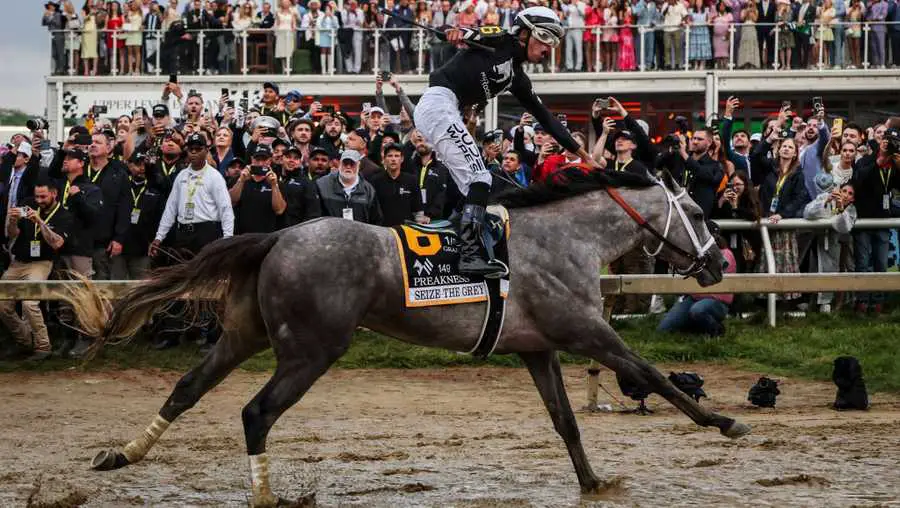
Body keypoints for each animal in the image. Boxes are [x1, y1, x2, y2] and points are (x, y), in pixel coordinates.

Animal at [67, 169, 748, 506]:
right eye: (700, 214)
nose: (718, 266)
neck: (565, 238)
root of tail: (279, 235)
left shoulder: (538, 347)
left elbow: (566, 421)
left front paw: (592, 483)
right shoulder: (585, 331)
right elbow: (651, 373)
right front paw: (722, 421)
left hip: (244, 335)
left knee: (187, 388)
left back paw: (122, 454)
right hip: (312, 350)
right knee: (256, 413)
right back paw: (266, 497)